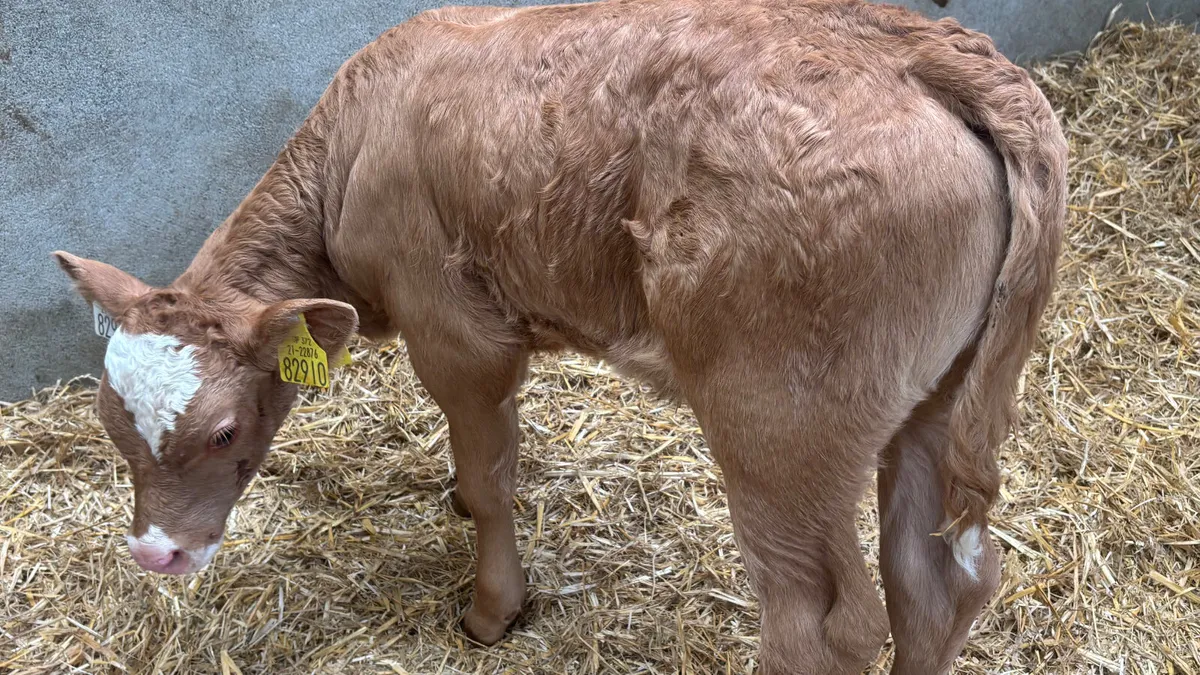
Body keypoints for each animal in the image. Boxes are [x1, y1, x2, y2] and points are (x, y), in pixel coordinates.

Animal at [51, 0, 1068, 672]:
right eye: (110, 425)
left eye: (223, 430)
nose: (156, 552)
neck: (356, 140)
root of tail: (919, 46)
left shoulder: (456, 334)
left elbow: (491, 469)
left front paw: (491, 605)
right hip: (937, 397)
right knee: (935, 582)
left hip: (782, 423)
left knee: (821, 621)